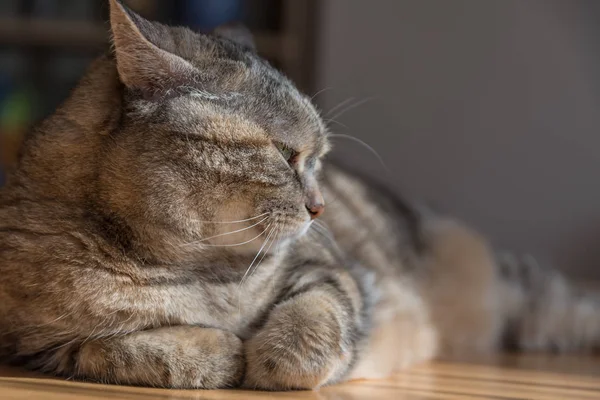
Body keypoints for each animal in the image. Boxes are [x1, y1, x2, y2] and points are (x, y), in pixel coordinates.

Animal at [1, 0, 600, 390]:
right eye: (287, 155)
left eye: (317, 162)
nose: (320, 206)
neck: (191, 270)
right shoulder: (39, 344)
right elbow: (123, 346)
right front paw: (217, 351)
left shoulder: (336, 272)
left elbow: (312, 319)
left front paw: (268, 361)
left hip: (522, 291)